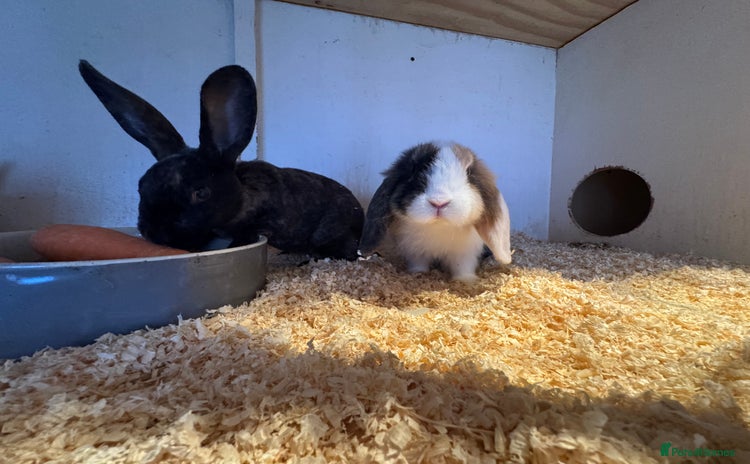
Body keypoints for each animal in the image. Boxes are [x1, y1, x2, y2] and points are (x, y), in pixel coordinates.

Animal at [360, 141, 511, 281]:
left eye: (468, 173)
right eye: (413, 172)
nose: (439, 202)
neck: (438, 226)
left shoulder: (465, 253)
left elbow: (463, 267)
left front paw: (466, 281)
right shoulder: (415, 251)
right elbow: (419, 263)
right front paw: (418, 273)